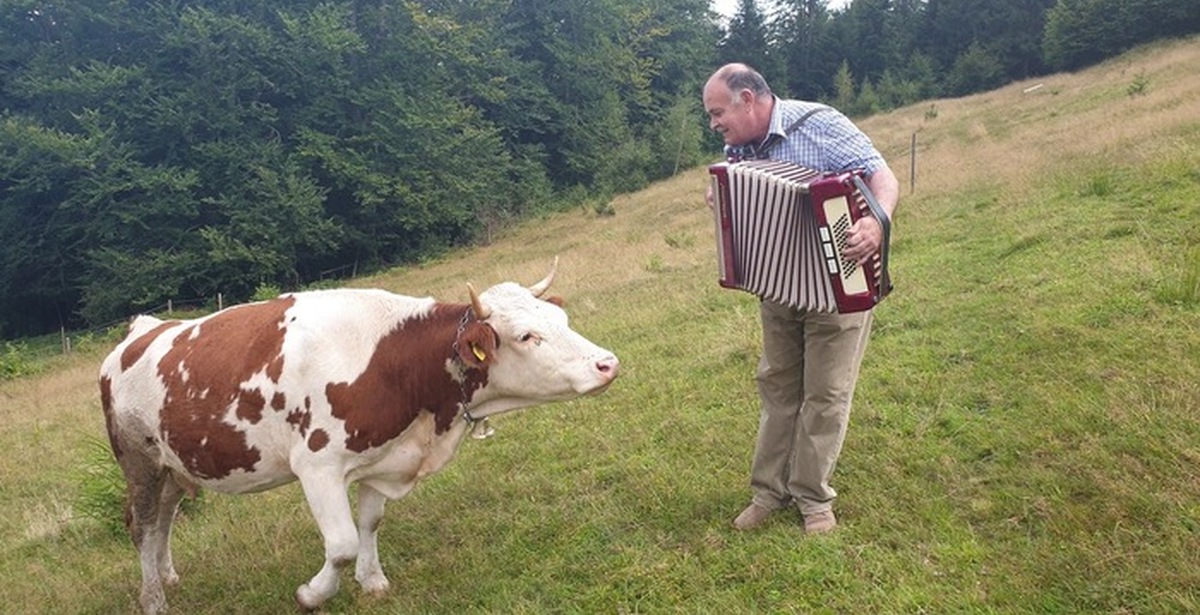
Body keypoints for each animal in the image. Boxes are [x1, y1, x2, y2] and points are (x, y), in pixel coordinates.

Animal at [98, 261, 619, 612]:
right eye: (527, 336)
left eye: (562, 322)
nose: (607, 363)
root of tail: (144, 329)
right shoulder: (317, 467)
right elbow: (343, 543)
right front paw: (312, 593)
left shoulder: (383, 457)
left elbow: (369, 524)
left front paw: (373, 582)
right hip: (139, 461)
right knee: (143, 524)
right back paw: (153, 598)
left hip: (172, 464)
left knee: (164, 519)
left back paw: (168, 575)